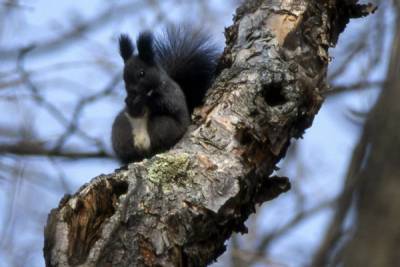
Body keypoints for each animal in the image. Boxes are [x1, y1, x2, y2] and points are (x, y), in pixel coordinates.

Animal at [111, 26, 219, 164]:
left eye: (142, 73)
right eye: (123, 76)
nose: (132, 91)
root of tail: (142, 145)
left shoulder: (170, 93)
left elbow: (165, 103)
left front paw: (143, 100)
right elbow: (132, 111)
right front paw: (130, 101)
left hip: (163, 125)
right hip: (121, 132)